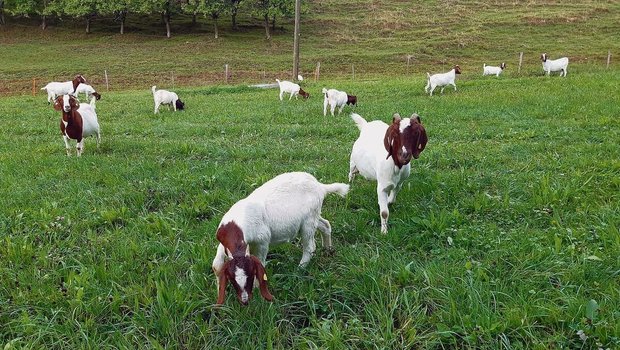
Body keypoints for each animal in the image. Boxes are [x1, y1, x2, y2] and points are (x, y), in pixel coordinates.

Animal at [213, 172, 348, 304]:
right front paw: (219, 290)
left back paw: (300, 269)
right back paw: (328, 250)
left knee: (310, 247)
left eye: (250, 276)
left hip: (309, 220)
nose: (245, 301)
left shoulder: (263, 240)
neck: (236, 226)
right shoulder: (224, 243)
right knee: (325, 225)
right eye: (232, 280)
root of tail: (320, 186)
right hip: (314, 216)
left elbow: (260, 262)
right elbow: (217, 265)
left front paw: (257, 289)